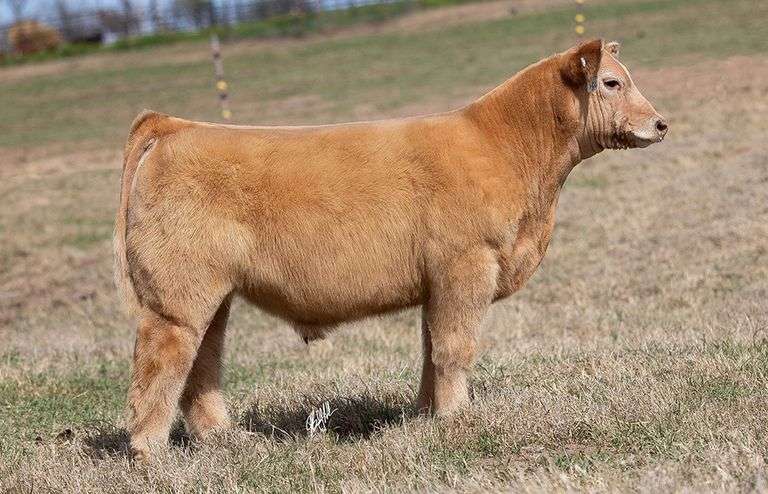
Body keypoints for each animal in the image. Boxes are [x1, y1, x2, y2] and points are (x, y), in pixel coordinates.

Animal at [114, 39, 667, 459]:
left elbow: (430, 349)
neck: (506, 149)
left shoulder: (436, 284)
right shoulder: (465, 266)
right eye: (612, 82)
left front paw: (426, 414)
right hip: (177, 298)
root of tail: (176, 126)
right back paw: (150, 453)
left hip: (212, 294)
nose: (661, 123)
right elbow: (455, 348)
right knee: (162, 360)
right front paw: (457, 419)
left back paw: (225, 439)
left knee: (202, 361)